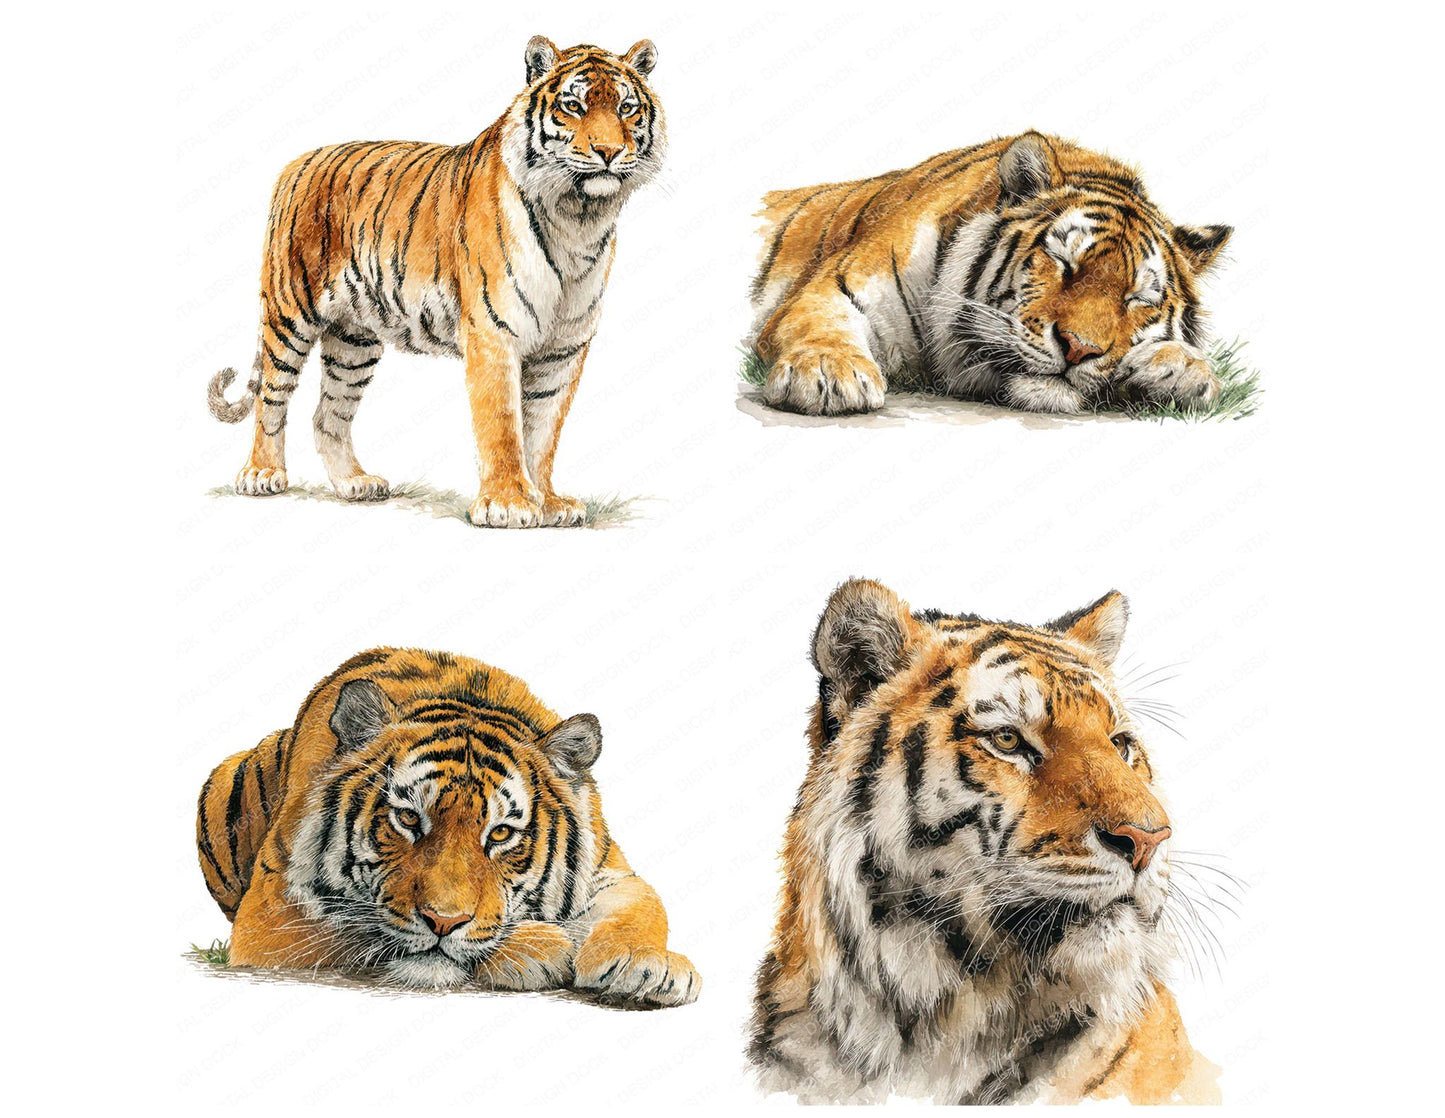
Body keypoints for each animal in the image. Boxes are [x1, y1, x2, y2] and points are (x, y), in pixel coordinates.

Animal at [196, 646, 700, 1003]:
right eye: (406, 818)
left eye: (500, 833)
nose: (443, 922)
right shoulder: (274, 909)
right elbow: (354, 932)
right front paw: (538, 947)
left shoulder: (609, 870)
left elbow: (642, 903)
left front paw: (650, 966)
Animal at [206, 36, 663, 528]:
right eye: (573, 106)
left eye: (628, 108)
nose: (608, 151)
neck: (577, 218)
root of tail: (297, 163)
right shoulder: (494, 333)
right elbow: (503, 424)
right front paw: (508, 503)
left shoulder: (564, 348)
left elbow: (543, 430)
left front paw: (549, 502)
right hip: (290, 313)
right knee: (271, 398)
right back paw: (262, 473)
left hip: (353, 340)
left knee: (328, 415)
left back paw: (355, 484)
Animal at [747, 132, 1232, 416]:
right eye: (1064, 264)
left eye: (1138, 299)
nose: (1079, 349)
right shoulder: (835, 286)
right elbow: (820, 324)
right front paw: (828, 373)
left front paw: (1183, 370)